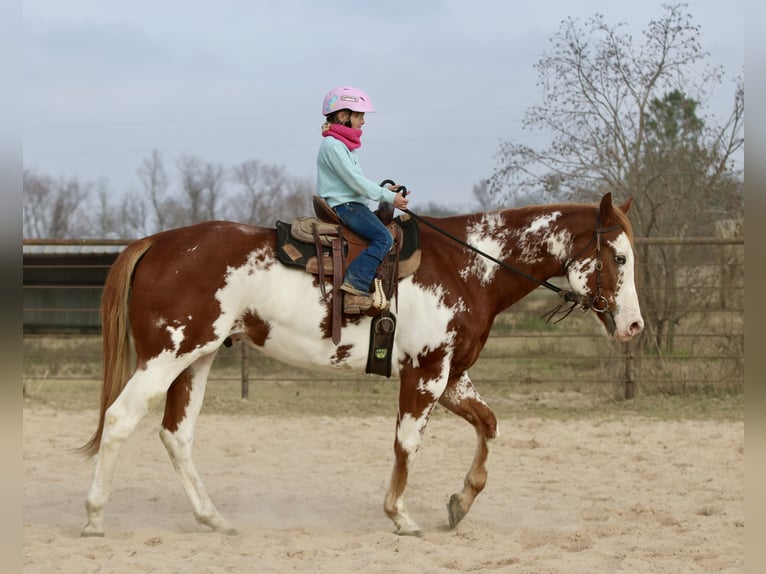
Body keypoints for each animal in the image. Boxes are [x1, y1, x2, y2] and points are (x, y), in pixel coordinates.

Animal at [79, 192, 643, 537]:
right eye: (619, 257)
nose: (634, 326)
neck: (468, 267)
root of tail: (156, 242)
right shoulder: (426, 371)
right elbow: (407, 442)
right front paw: (400, 515)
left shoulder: (451, 374)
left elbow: (487, 423)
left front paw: (460, 503)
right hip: (166, 356)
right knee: (120, 419)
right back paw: (94, 517)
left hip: (196, 360)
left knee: (176, 434)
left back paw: (213, 518)